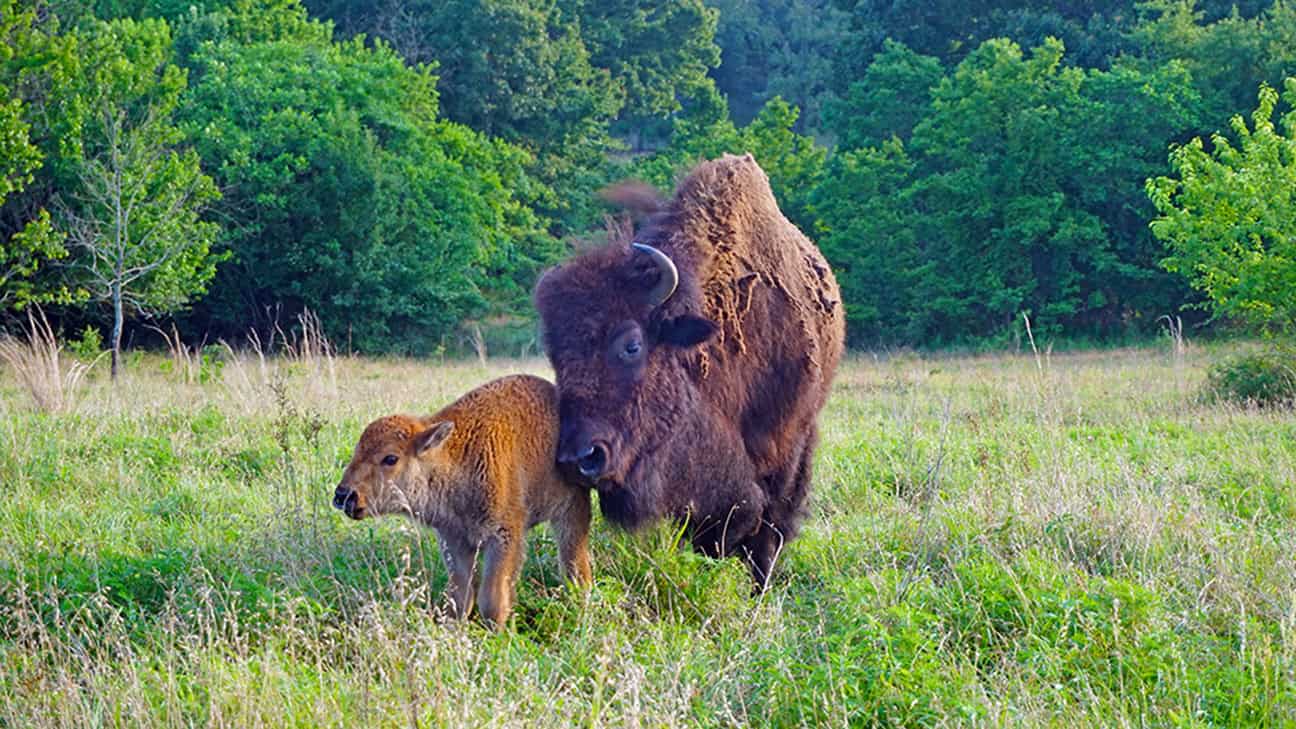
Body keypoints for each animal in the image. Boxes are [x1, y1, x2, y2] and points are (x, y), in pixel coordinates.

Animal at [535, 153, 844, 587]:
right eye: (555, 355)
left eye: (632, 345)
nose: (579, 459)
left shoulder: (786, 447)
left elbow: (768, 531)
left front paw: (760, 586)